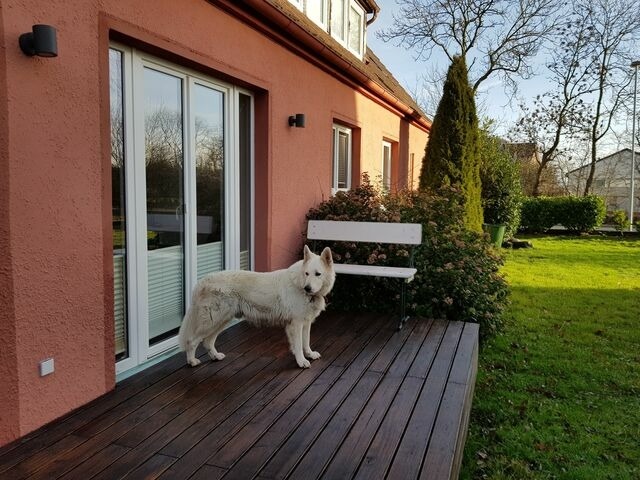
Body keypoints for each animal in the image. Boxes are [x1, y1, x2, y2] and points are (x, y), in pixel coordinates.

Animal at [176, 246, 332, 370]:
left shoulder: (306, 323)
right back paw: (192, 361)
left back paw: (215, 356)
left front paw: (310, 355)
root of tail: (202, 281)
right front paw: (301, 361)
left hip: (222, 320)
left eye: (318, 274)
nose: (307, 288)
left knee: (208, 341)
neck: (299, 283)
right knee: (192, 341)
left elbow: (306, 342)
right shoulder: (296, 324)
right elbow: (299, 345)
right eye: (307, 273)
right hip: (212, 321)